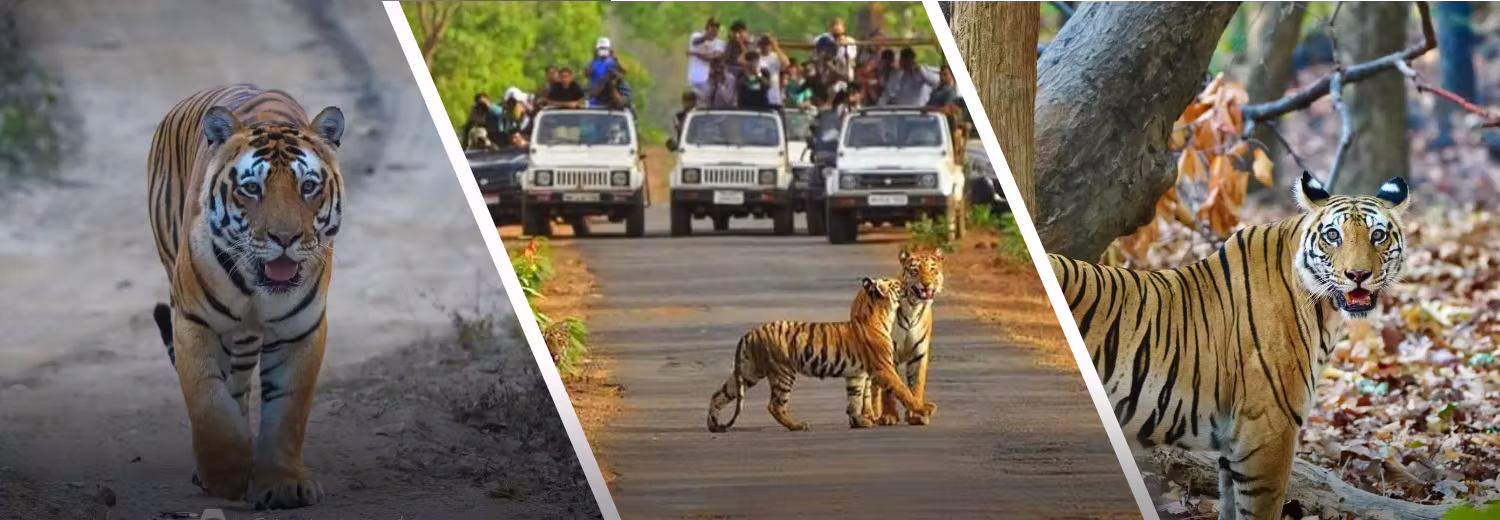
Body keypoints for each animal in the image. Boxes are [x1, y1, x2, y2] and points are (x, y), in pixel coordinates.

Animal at [147, 84, 345, 510]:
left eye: (308, 187)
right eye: (252, 189)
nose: (285, 238)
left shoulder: (300, 331)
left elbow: (287, 411)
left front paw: (282, 482)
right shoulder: (193, 321)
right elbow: (208, 400)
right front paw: (227, 474)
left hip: (244, 341)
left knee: (238, 386)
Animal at [706, 277, 938, 432]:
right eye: (896, 284)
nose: (908, 283)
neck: (881, 314)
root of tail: (750, 333)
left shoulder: (856, 374)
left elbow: (854, 399)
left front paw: (859, 422)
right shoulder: (884, 368)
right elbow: (903, 390)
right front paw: (924, 409)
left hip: (748, 372)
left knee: (718, 394)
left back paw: (713, 425)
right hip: (783, 372)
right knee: (775, 405)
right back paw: (798, 425)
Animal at [864, 246, 945, 426]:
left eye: (933, 270)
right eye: (915, 270)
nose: (926, 284)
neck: (913, 307)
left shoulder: (919, 354)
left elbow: (916, 385)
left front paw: (916, 414)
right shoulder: (888, 354)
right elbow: (888, 389)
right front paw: (888, 416)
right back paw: (874, 414)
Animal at [1047, 171, 1410, 520]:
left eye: (1378, 235)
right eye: (1333, 236)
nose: (1358, 274)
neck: (1323, 310)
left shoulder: (1233, 441)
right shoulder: (1268, 429)